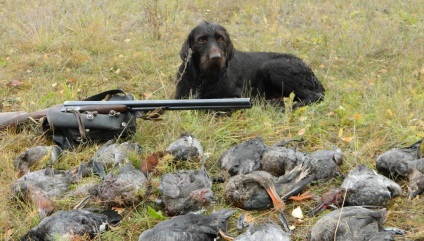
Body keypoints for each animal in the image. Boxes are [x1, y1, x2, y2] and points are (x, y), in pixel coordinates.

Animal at [176, 21, 324, 108]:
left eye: (221, 38)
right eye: (201, 40)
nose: (216, 57)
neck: (205, 77)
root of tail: (310, 72)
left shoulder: (236, 97)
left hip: (272, 67)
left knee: (315, 96)